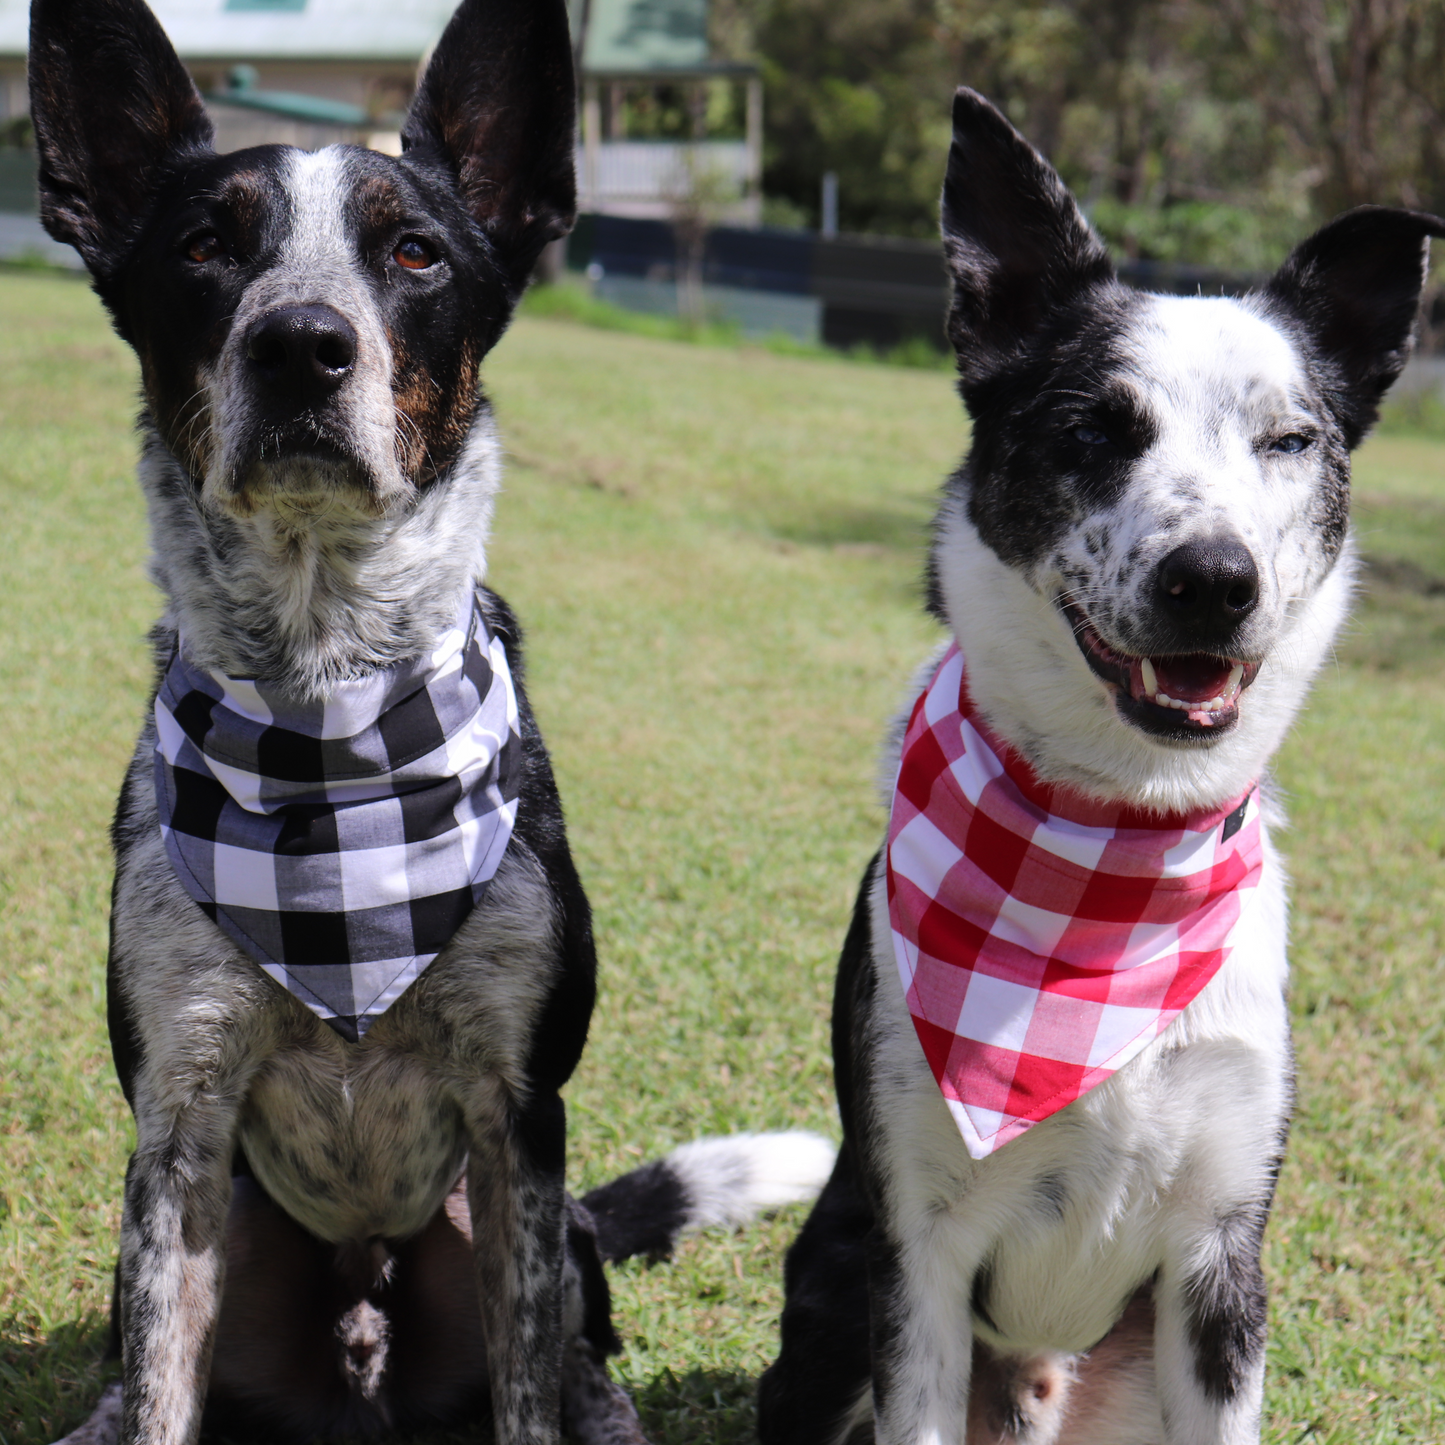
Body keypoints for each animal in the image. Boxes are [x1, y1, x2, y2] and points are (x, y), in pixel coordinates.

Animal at [28, 2, 838, 1445]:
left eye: (413, 251)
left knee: (579, 1359)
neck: (328, 716)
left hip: (543, 1243)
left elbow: (529, 1387)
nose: (300, 342)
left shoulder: (515, 1125)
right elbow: (160, 1381)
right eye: (203, 246)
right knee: (129, 1375)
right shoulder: (178, 1126)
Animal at [762, 90, 1439, 1445]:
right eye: (1091, 427)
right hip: (831, 1294)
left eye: (1289, 438)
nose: (1213, 580)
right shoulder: (915, 1256)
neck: (1113, 848)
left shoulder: (1221, 1264)